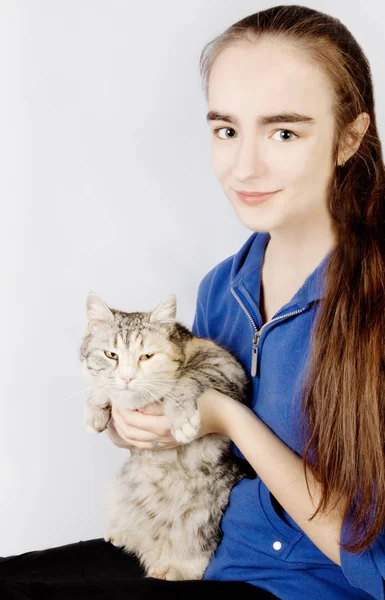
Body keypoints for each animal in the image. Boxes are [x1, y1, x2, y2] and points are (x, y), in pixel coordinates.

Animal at [79, 290, 252, 580]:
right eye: (111, 355)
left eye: (147, 356)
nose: (127, 378)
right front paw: (95, 407)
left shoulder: (223, 363)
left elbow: (188, 379)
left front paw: (181, 416)